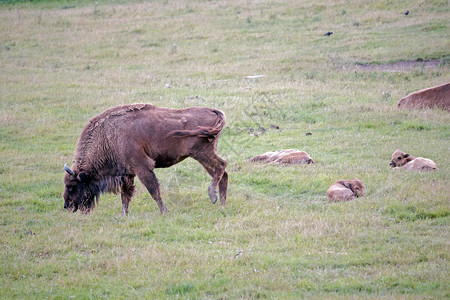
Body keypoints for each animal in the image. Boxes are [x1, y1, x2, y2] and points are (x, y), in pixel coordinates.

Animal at [62, 103, 229, 216]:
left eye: (71, 186)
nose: (67, 206)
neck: (109, 137)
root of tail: (212, 110)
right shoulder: (127, 174)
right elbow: (125, 196)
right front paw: (124, 215)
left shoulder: (142, 166)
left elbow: (153, 189)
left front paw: (164, 211)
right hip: (204, 156)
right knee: (223, 174)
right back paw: (222, 204)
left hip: (202, 153)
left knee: (221, 166)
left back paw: (213, 196)